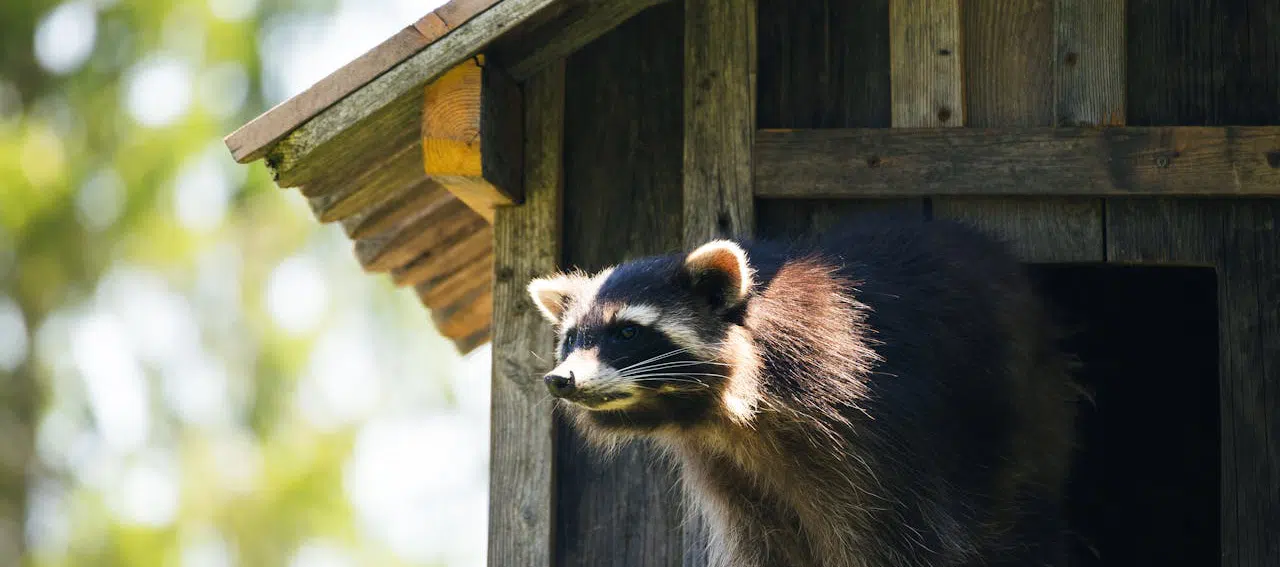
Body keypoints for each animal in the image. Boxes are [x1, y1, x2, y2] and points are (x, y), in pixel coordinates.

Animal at [526, 215, 1079, 567]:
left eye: (627, 332)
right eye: (571, 338)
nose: (561, 379)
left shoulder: (868, 426)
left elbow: (898, 540)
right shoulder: (725, 466)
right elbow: (764, 544)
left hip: (1017, 406)